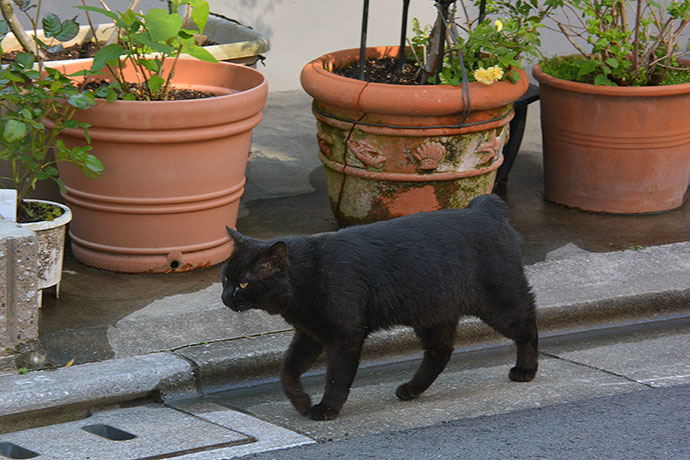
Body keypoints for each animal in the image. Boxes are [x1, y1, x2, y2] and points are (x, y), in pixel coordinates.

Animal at [220, 194, 536, 420]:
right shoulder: (310, 333)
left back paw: (526, 370)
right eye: (225, 278)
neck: (308, 274)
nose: (224, 297)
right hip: (433, 315)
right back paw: (412, 389)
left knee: (528, 327)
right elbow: (287, 370)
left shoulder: (345, 335)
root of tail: (485, 209)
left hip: (501, 303)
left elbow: (336, 377)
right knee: (440, 352)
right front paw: (301, 402)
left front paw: (326, 408)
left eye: (243, 284)